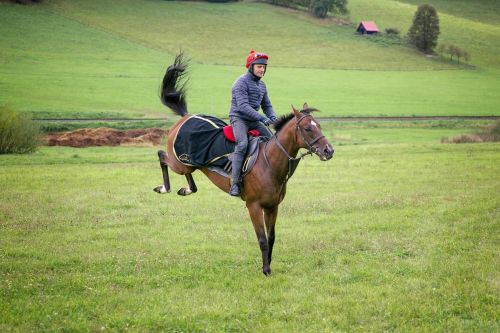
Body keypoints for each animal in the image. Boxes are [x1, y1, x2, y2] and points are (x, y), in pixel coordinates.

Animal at [154, 53, 334, 274]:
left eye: (319, 126)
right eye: (308, 129)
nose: (329, 151)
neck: (269, 164)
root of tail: (186, 116)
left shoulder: (272, 207)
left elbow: (272, 238)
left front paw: (269, 265)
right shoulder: (254, 207)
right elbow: (262, 239)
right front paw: (265, 270)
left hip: (188, 164)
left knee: (188, 179)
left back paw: (185, 190)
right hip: (179, 162)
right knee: (161, 156)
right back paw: (163, 188)